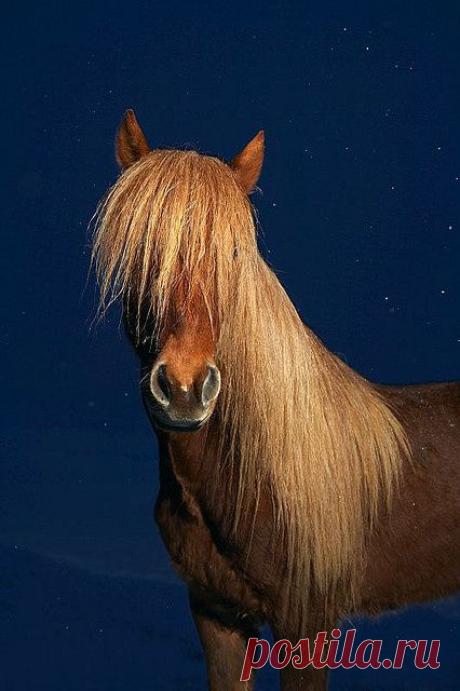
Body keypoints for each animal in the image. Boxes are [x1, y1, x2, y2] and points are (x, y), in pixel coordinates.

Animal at [92, 109, 460, 690]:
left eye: (234, 253)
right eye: (142, 248)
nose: (184, 392)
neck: (256, 479)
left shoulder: (306, 626)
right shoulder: (215, 615)